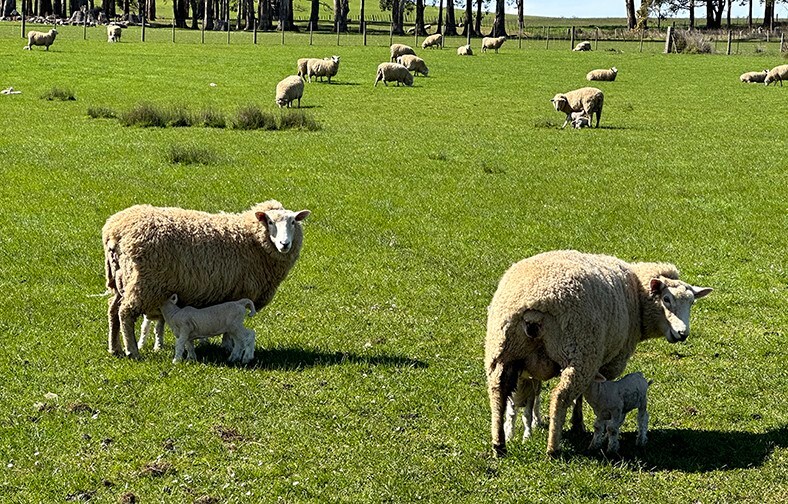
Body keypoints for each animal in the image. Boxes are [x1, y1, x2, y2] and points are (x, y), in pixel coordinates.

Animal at [98, 199, 308, 356]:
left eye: (293, 222)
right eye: (270, 222)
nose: (284, 244)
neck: (252, 240)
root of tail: (114, 231)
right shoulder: (239, 293)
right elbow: (230, 326)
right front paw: (228, 347)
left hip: (120, 280)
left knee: (112, 311)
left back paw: (114, 349)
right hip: (143, 284)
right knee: (125, 313)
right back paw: (132, 351)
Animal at [484, 248, 712, 456]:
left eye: (692, 302)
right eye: (666, 299)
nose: (683, 334)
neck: (637, 292)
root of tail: (533, 305)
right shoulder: (605, 362)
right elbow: (588, 395)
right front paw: (581, 425)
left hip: (501, 350)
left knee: (498, 392)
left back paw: (499, 445)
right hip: (581, 351)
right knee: (560, 397)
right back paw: (552, 448)